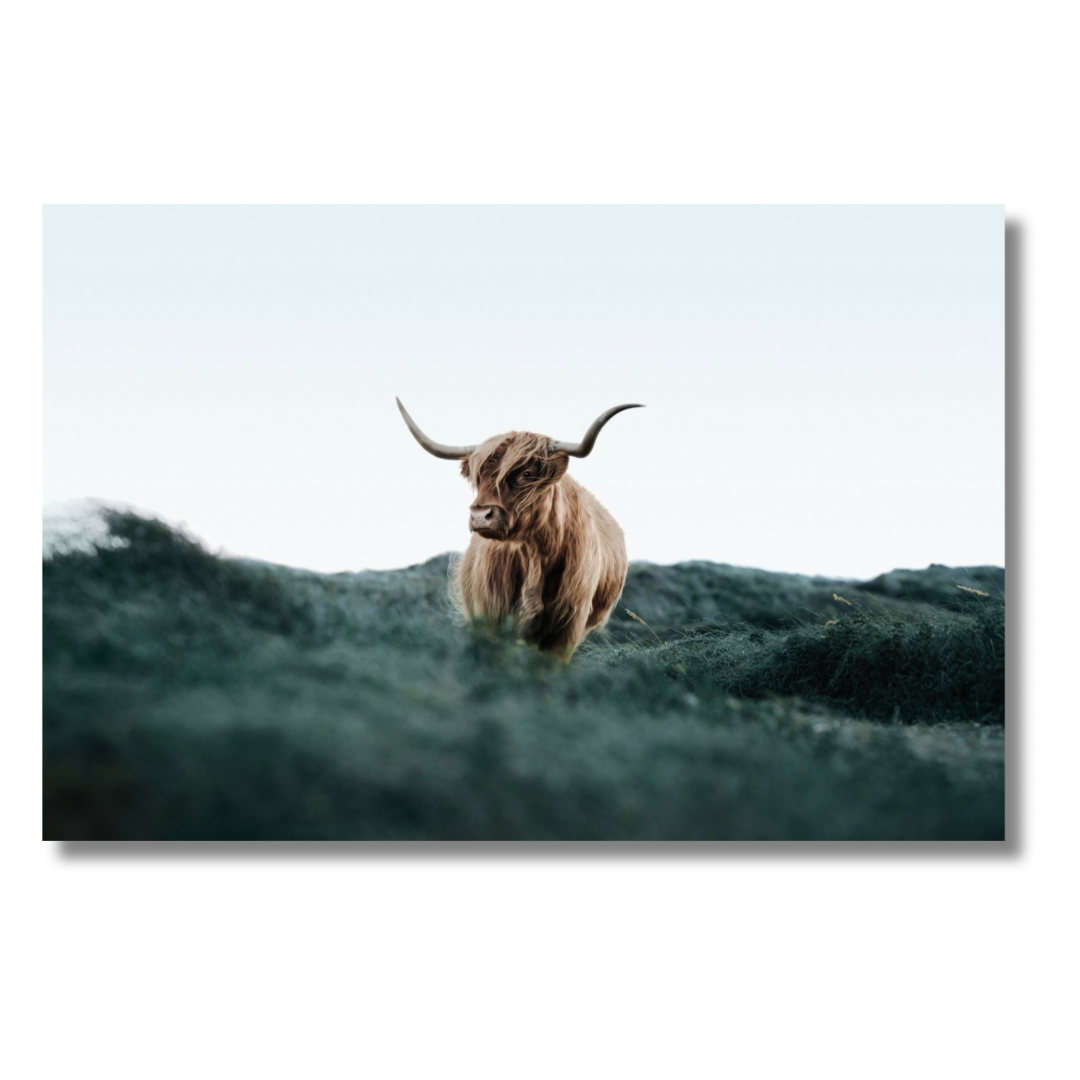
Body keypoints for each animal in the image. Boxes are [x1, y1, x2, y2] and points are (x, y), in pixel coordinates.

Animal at [396, 397, 643, 660]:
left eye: (527, 474)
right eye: (479, 477)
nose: (480, 516)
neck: (533, 553)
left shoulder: (568, 626)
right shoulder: (489, 615)